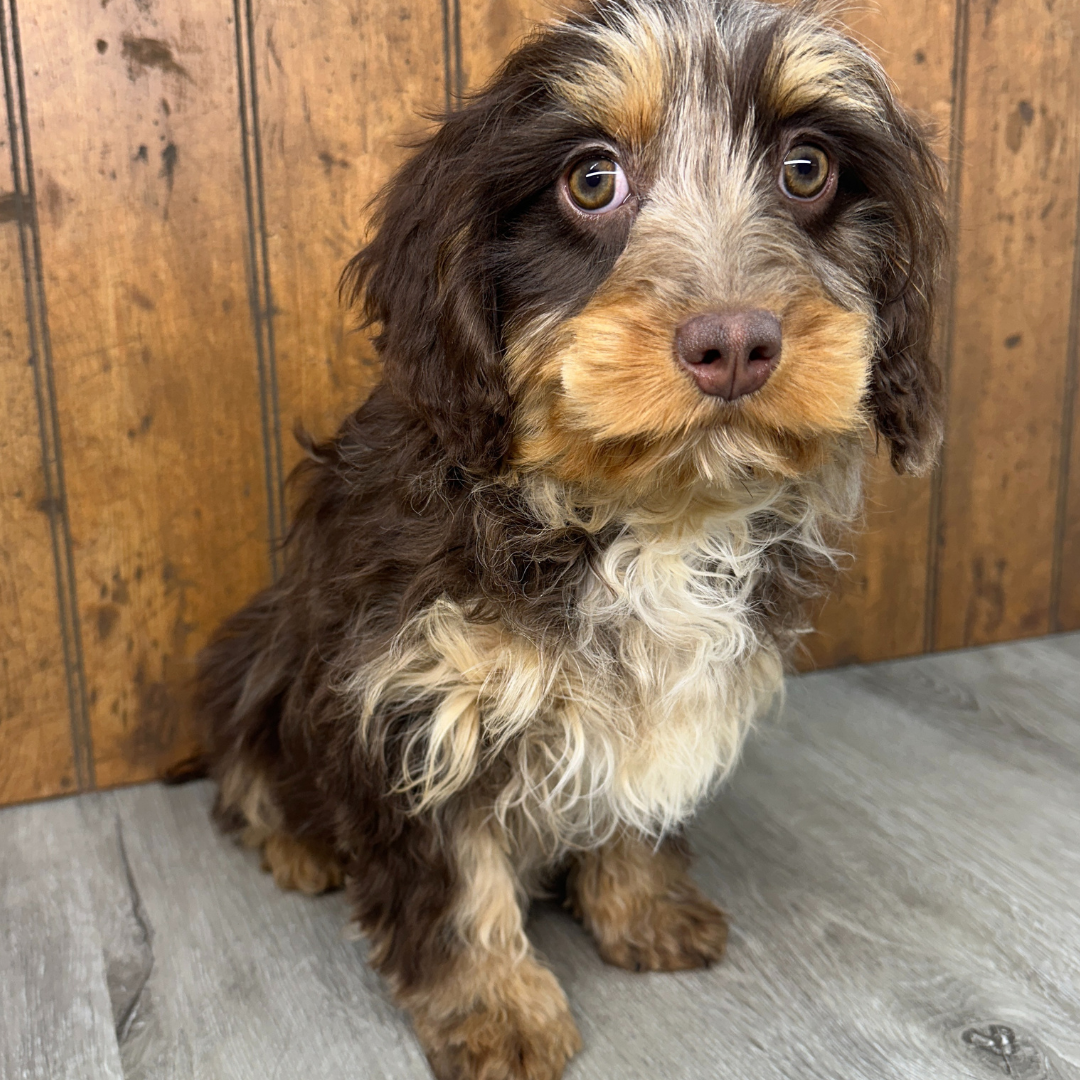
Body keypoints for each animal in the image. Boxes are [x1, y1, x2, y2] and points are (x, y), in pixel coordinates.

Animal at [198, 4, 941, 1075]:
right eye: (591, 180)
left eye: (809, 168)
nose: (735, 344)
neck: (642, 513)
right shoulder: (410, 700)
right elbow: (457, 883)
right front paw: (496, 1011)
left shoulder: (671, 696)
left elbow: (636, 791)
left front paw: (641, 908)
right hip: (249, 657)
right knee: (246, 777)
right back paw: (297, 847)